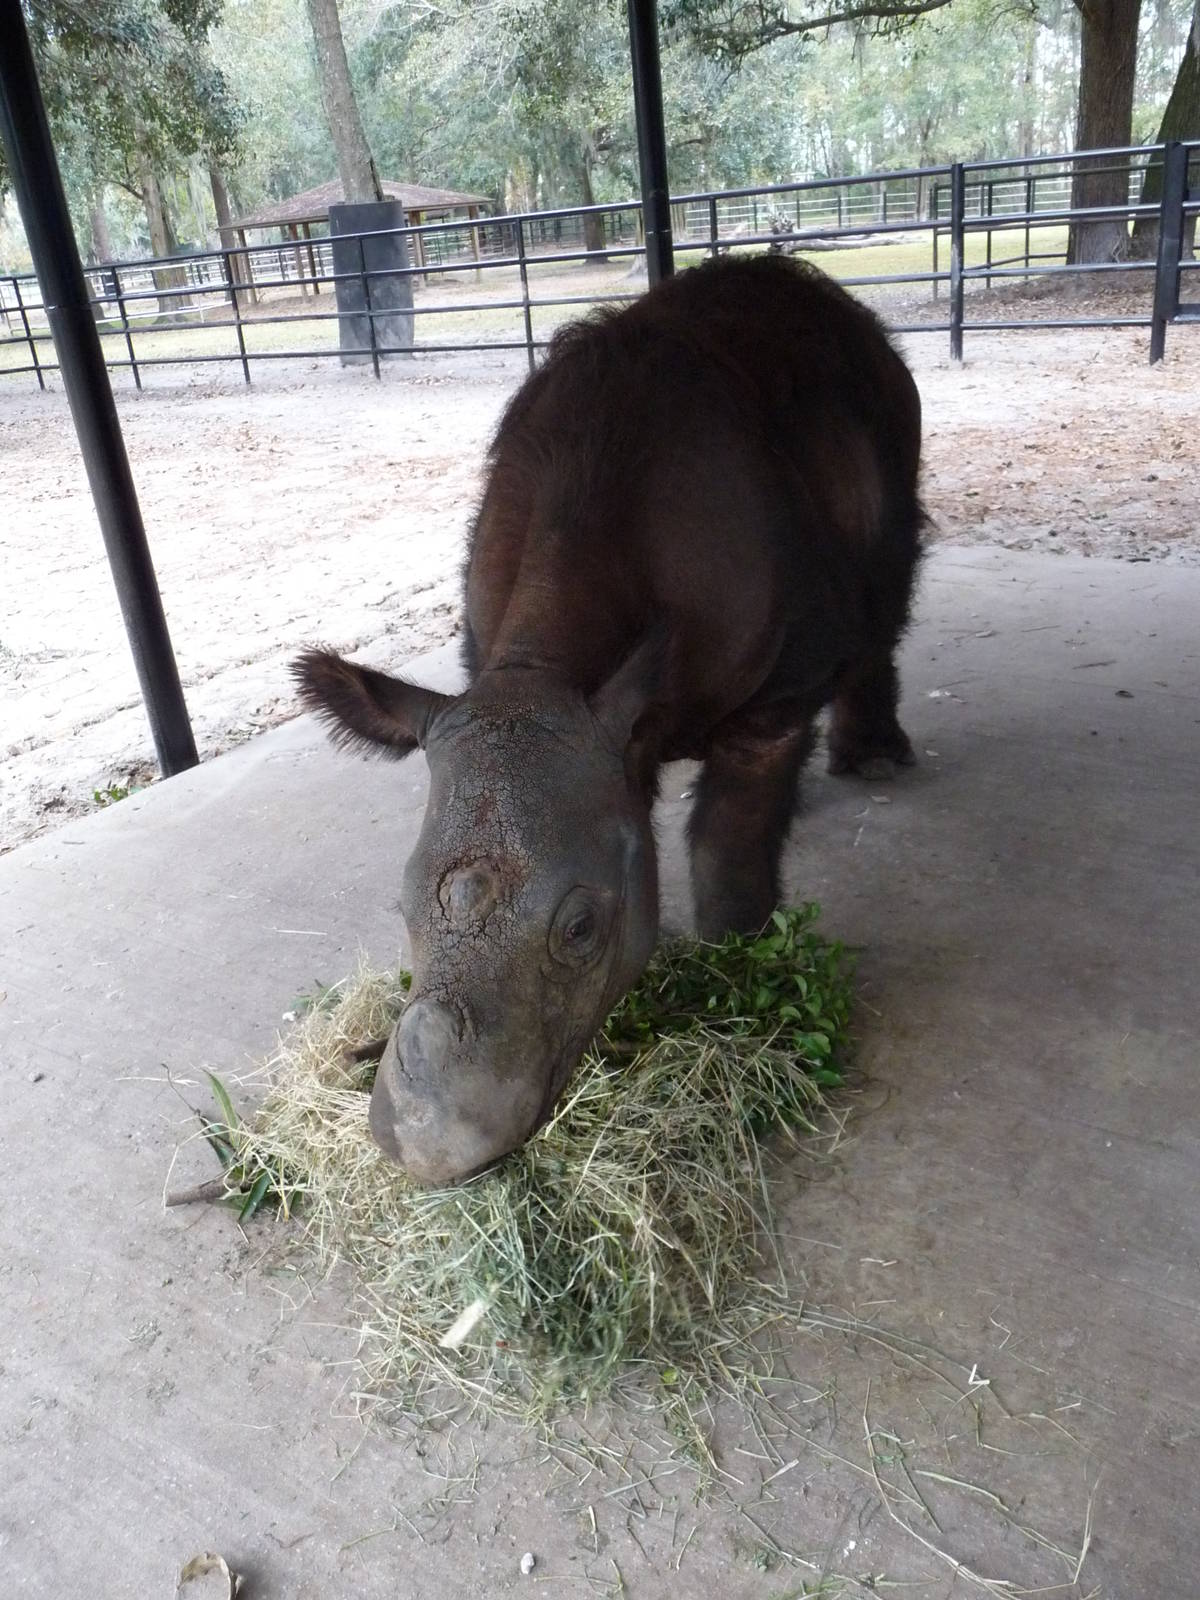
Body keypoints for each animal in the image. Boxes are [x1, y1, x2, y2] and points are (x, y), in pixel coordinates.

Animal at [295, 254, 923, 1185]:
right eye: (398, 909)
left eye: (582, 930)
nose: (434, 1146)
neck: (548, 670)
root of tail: (826, 298)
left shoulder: (771, 697)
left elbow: (727, 853)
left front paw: (742, 985)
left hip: (891, 411)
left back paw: (873, 759)